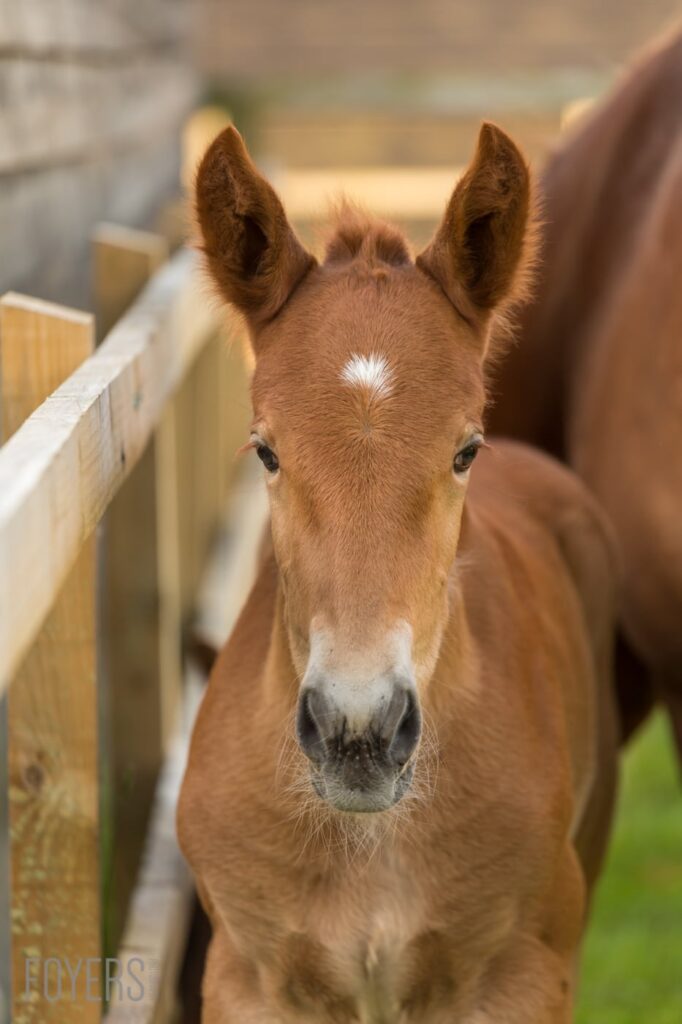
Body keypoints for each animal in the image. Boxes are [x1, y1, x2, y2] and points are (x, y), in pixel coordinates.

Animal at [177, 122, 619, 1023]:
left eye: (465, 450)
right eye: (266, 450)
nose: (361, 732)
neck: (369, 844)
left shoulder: (520, 978)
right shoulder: (250, 980)